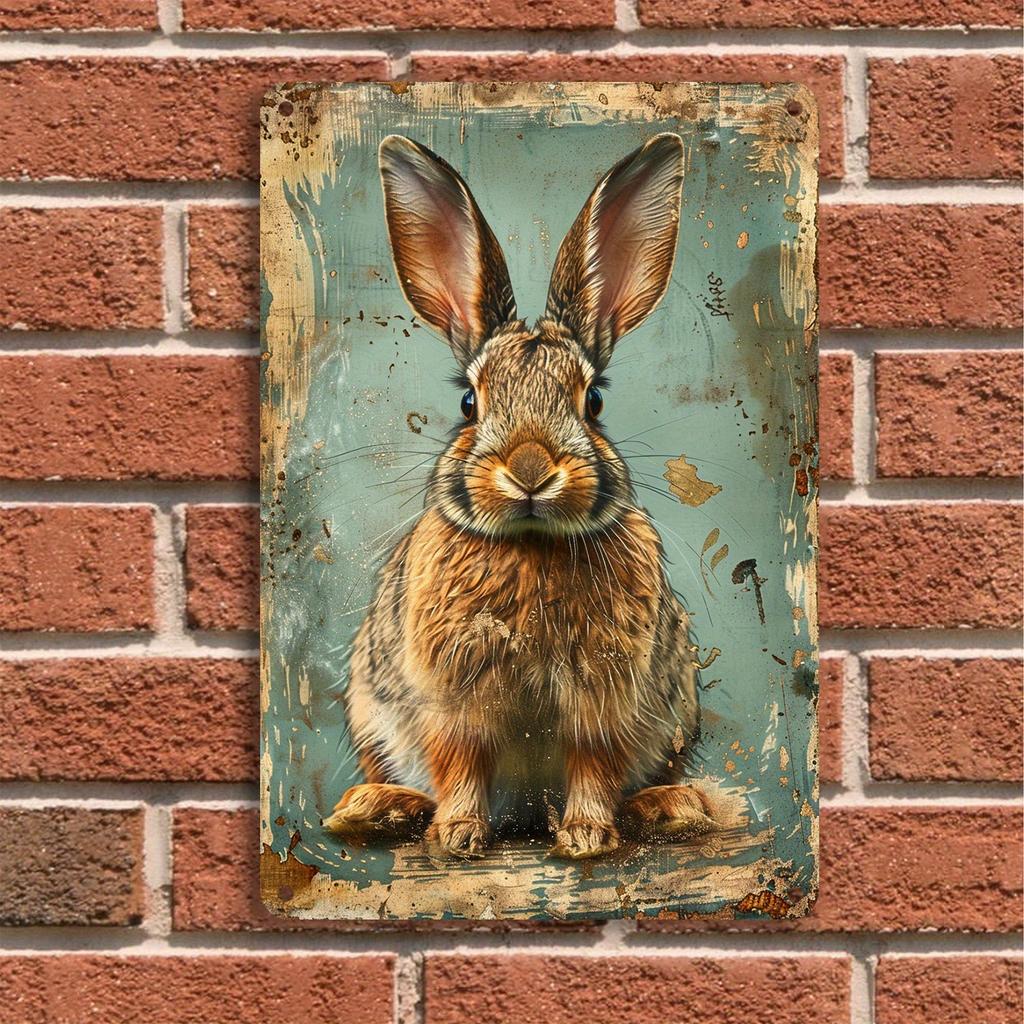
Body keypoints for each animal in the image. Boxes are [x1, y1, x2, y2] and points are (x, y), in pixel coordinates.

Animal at [323, 131, 714, 860]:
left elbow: (594, 762)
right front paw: (458, 836)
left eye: (593, 401)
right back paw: (377, 808)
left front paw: (586, 836)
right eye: (469, 403)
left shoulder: (606, 698)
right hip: (369, 706)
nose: (530, 469)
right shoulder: (452, 697)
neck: (531, 544)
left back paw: (671, 807)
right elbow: (461, 761)